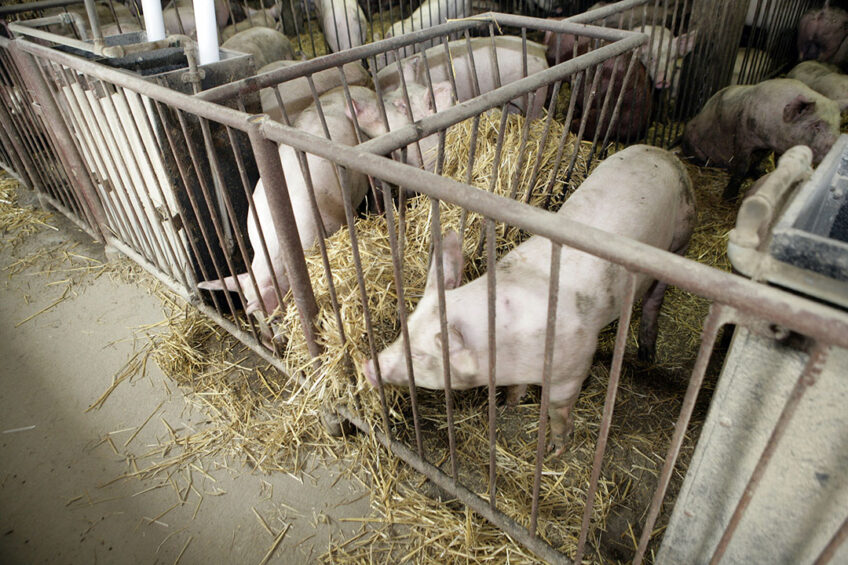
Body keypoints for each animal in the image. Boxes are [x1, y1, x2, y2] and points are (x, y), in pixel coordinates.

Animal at [364, 144, 696, 454]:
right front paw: (509, 404)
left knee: (656, 296)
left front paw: (556, 448)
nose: (369, 366)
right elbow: (516, 388)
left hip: (681, 235)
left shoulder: (575, 362)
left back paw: (647, 354)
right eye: (404, 329)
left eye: (421, 356)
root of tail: (662, 152)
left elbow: (557, 407)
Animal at [684, 77, 848, 199]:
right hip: (694, 144)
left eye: (838, 125)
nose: (836, 144)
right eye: (817, 126)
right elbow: (742, 167)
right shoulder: (743, 136)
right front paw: (728, 198)